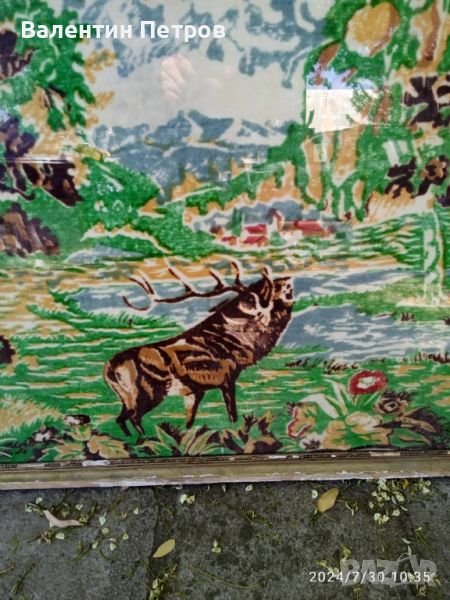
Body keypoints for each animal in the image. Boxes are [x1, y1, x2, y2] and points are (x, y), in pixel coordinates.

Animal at [104, 261, 294, 436]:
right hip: (148, 392)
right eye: (265, 290)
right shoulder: (227, 378)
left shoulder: (195, 391)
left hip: (126, 397)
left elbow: (189, 422)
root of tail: (110, 368)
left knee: (120, 418)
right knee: (134, 417)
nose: (287, 280)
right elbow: (232, 414)